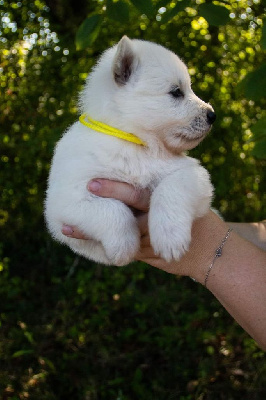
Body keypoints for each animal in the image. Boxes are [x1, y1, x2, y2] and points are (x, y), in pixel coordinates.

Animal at [44, 35, 214, 266]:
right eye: (176, 92)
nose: (212, 115)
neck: (134, 141)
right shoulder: (66, 199)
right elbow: (113, 210)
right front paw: (124, 247)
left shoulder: (194, 174)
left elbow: (170, 189)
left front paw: (169, 237)